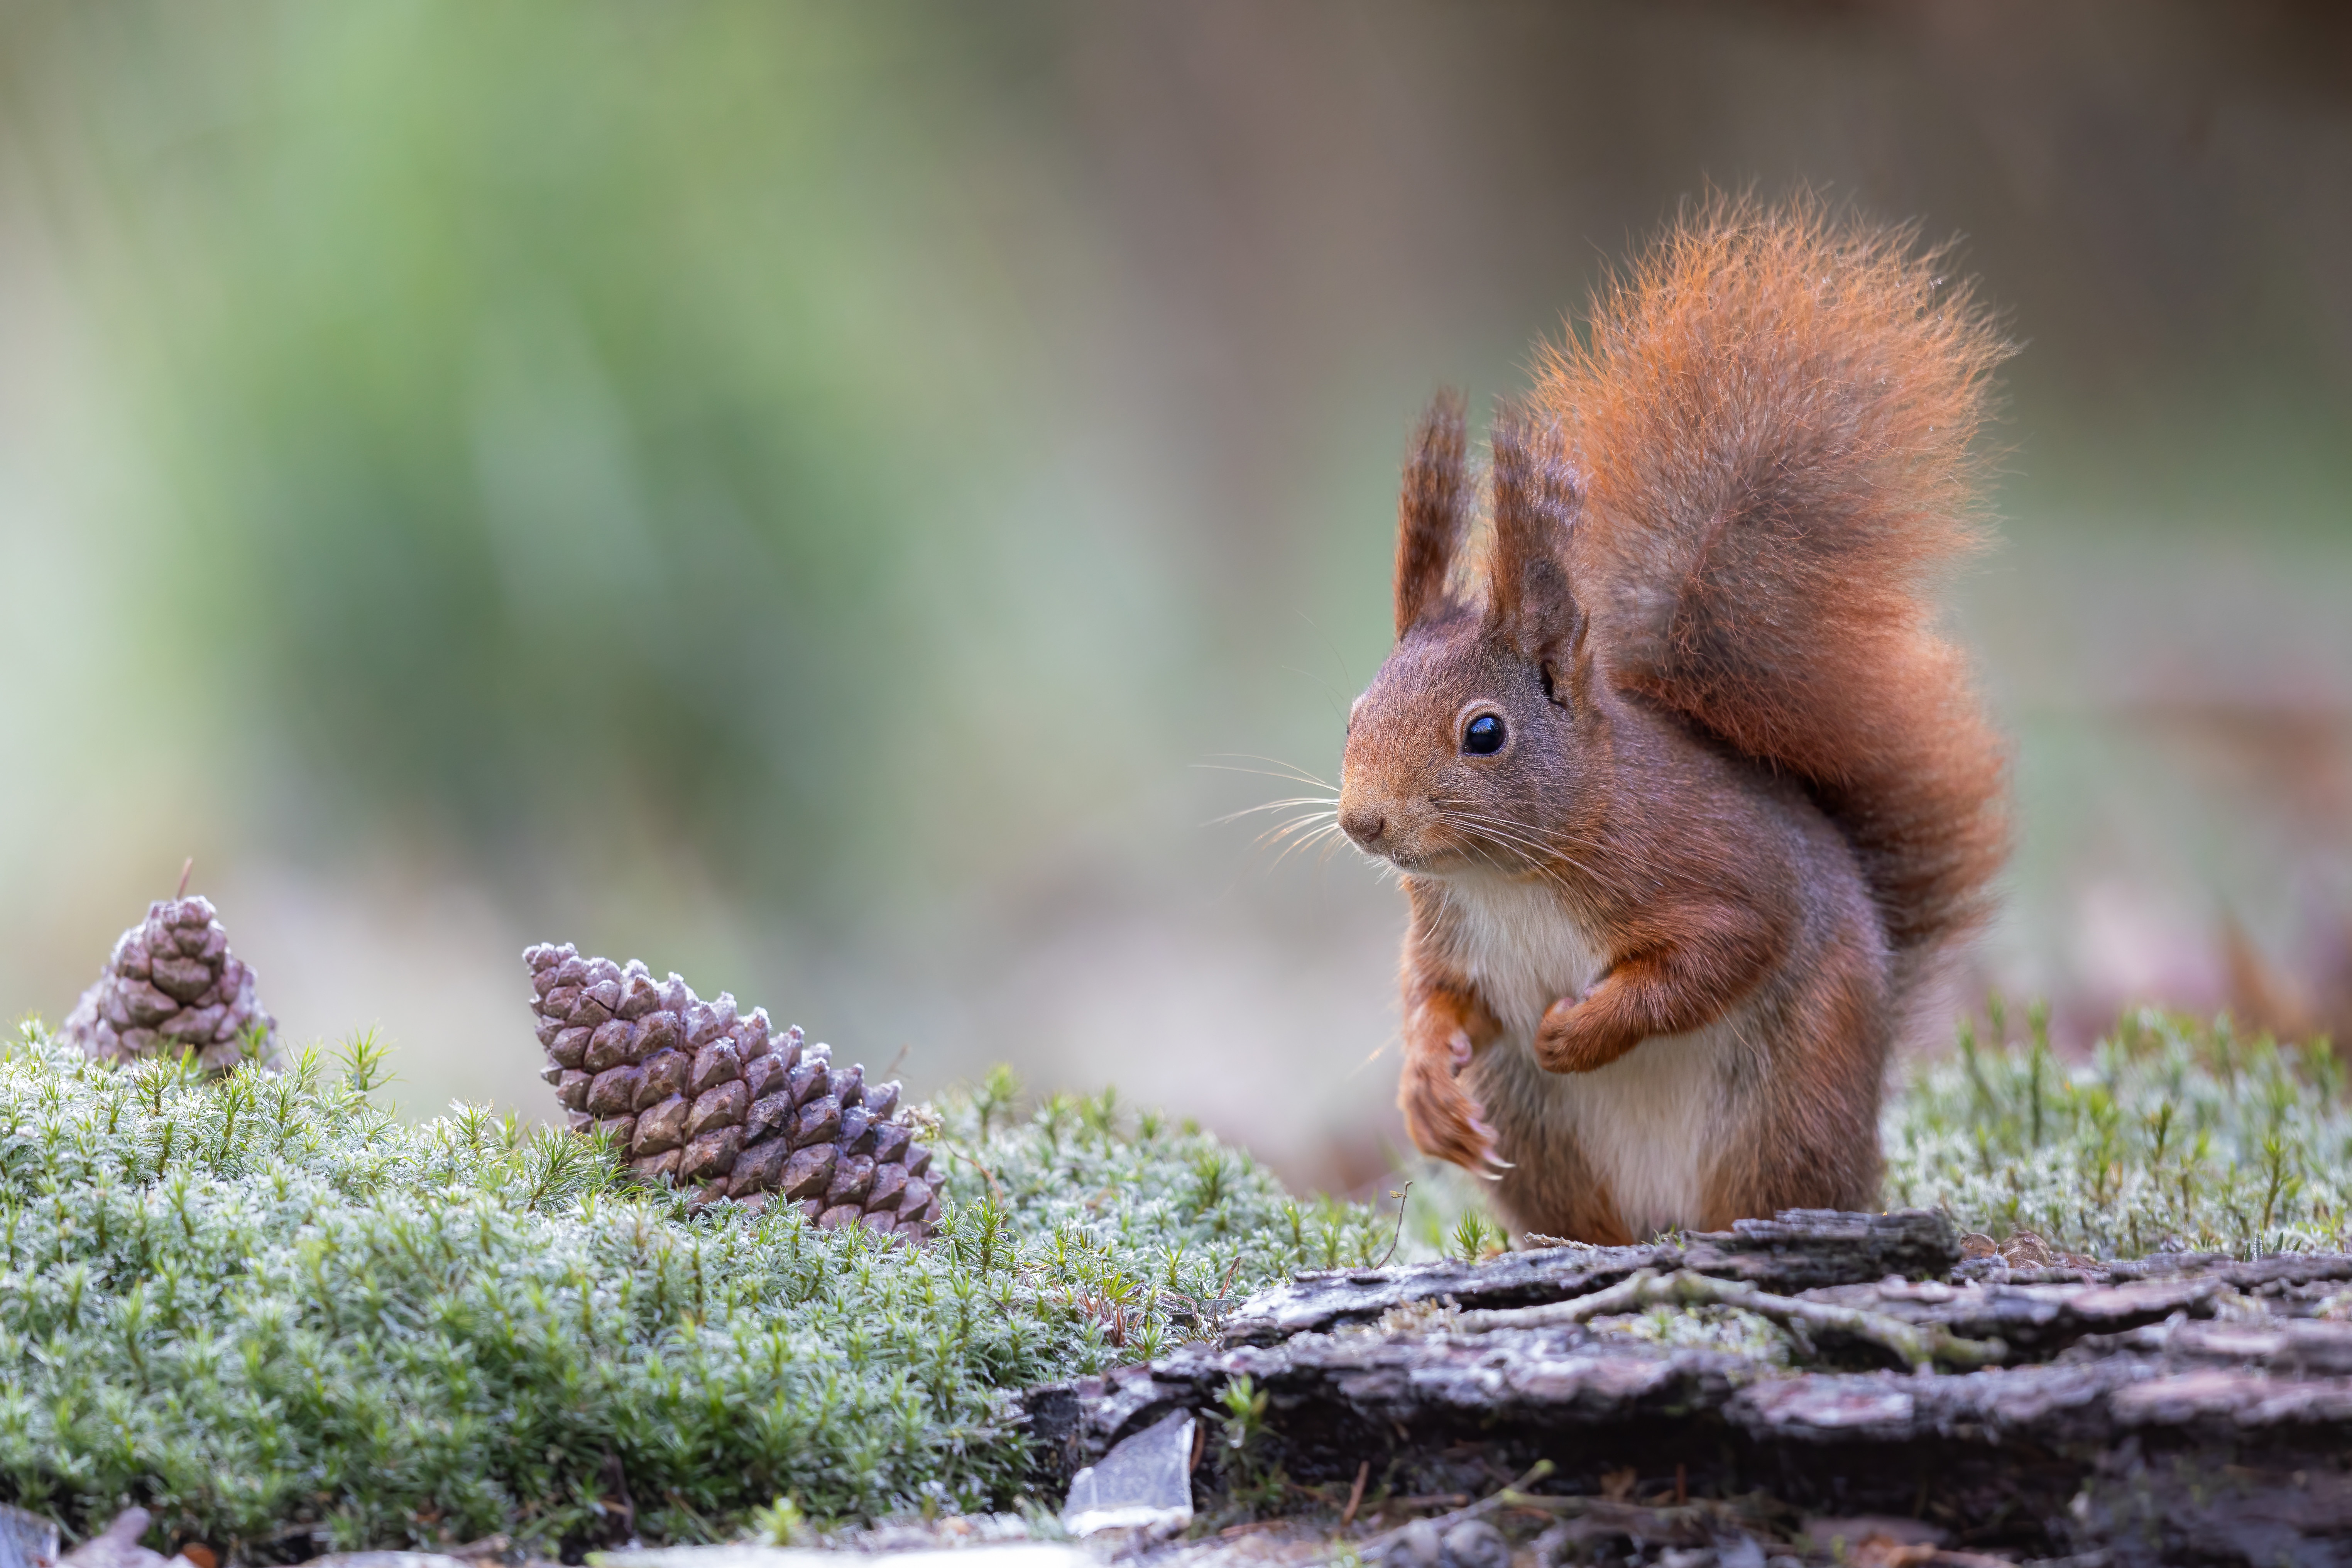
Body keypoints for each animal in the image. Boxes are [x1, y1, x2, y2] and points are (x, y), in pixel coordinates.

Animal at [1336, 196, 2013, 1241]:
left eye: (1483, 733)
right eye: (1352, 713)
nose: (1362, 822)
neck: (1506, 878)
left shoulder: (1714, 868)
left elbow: (1715, 955)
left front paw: (1581, 1028)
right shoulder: (1447, 936)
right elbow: (1434, 1000)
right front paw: (1423, 1089)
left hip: (1789, 1100)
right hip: (1538, 1136)